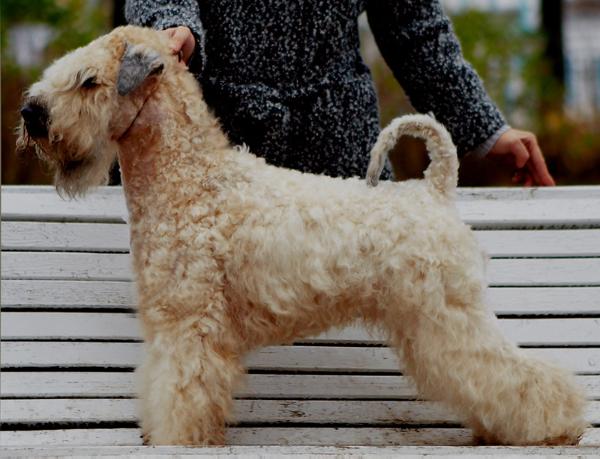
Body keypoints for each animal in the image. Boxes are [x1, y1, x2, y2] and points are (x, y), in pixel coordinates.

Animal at [17, 25, 584, 446]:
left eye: (89, 81)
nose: (30, 113)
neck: (190, 176)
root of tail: (437, 187)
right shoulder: (169, 324)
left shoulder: (187, 326)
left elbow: (181, 393)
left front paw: (177, 442)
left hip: (448, 317)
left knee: (510, 372)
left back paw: (557, 425)